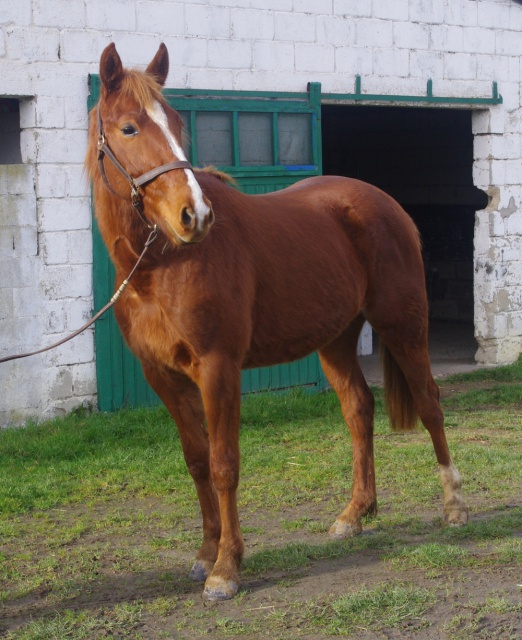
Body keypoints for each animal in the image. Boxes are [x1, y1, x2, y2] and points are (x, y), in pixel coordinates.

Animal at [86, 43, 468, 600]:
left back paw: (454, 505)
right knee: (359, 409)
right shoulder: (162, 377)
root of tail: (387, 204)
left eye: (176, 123)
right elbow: (196, 461)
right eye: (129, 128)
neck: (161, 266)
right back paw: (355, 514)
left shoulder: (218, 368)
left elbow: (224, 464)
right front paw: (205, 553)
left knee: (429, 403)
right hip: (335, 339)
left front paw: (226, 568)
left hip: (403, 327)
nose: (194, 215)